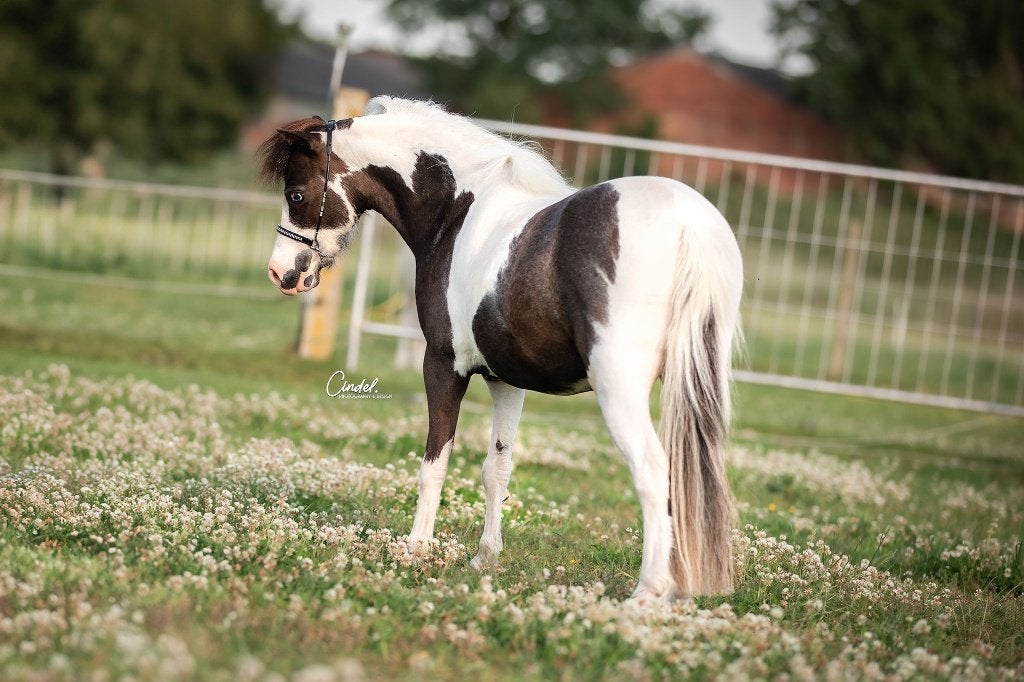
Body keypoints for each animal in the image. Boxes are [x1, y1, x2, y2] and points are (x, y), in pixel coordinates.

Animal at [259, 97, 744, 600]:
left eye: (296, 195)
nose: (280, 273)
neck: (459, 210)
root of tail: (688, 222)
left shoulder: (443, 365)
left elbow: (435, 463)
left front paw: (416, 549)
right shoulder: (506, 381)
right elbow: (497, 468)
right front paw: (484, 558)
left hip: (621, 390)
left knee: (653, 473)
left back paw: (648, 593)